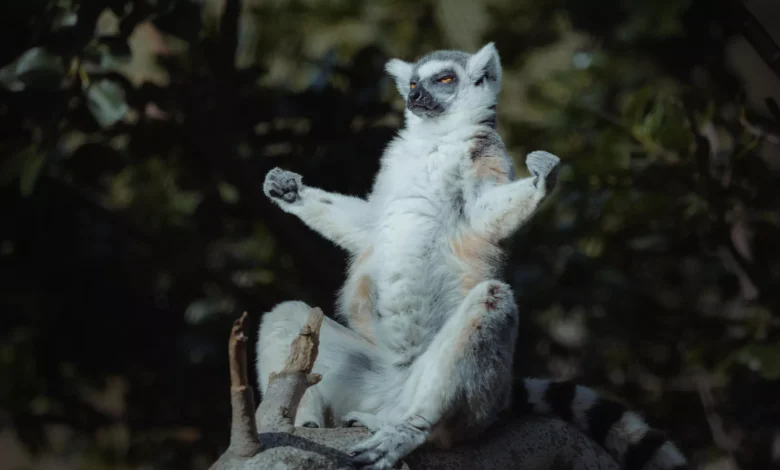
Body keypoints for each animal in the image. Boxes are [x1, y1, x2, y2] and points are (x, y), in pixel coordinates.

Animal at [256, 43, 688, 470]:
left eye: (444, 79)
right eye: (412, 83)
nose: (415, 97)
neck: (435, 138)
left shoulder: (485, 152)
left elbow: (483, 213)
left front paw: (541, 181)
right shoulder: (393, 168)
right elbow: (368, 227)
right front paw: (290, 192)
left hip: (474, 399)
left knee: (489, 306)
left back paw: (409, 430)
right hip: (362, 374)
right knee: (287, 315)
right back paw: (304, 422)